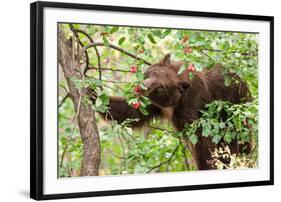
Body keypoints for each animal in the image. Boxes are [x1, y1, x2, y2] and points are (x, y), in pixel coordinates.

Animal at [88, 54, 250, 170]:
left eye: (160, 88)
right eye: (151, 73)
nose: (142, 86)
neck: (174, 103)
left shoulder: (192, 101)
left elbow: (200, 137)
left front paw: (206, 165)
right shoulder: (154, 105)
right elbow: (132, 113)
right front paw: (92, 93)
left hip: (236, 109)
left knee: (240, 143)